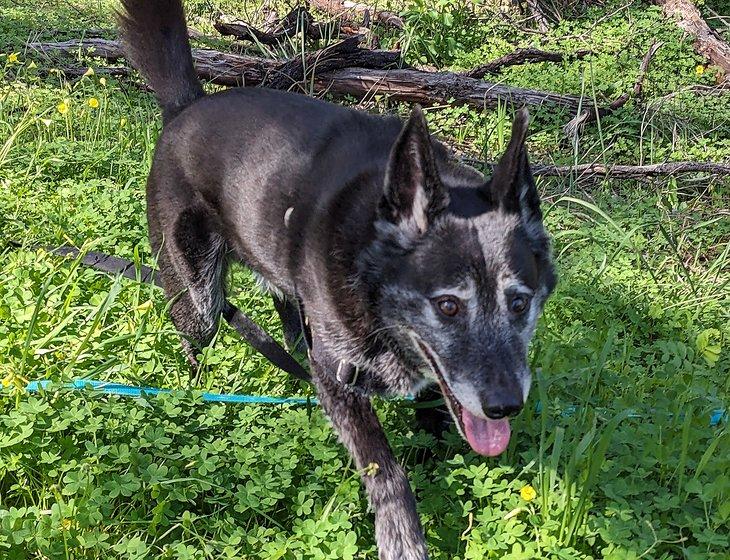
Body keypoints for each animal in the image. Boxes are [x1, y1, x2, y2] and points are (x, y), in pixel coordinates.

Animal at [119, 2, 556, 556]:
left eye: (519, 303)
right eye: (448, 305)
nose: (505, 408)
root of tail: (185, 107)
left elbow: (435, 414)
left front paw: (437, 460)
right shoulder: (339, 376)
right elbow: (384, 468)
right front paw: (402, 538)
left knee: (287, 313)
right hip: (200, 300)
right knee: (194, 330)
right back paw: (194, 391)